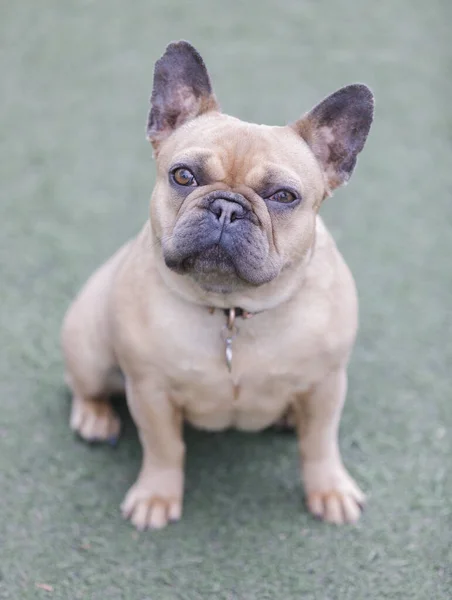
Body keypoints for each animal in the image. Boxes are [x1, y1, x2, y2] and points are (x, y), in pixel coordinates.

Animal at [62, 41, 374, 528]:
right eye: (183, 175)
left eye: (284, 196)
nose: (227, 207)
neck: (233, 310)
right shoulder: (150, 391)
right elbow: (164, 447)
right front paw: (156, 496)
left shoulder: (326, 385)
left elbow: (320, 443)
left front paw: (330, 489)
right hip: (90, 345)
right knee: (83, 384)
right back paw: (94, 418)